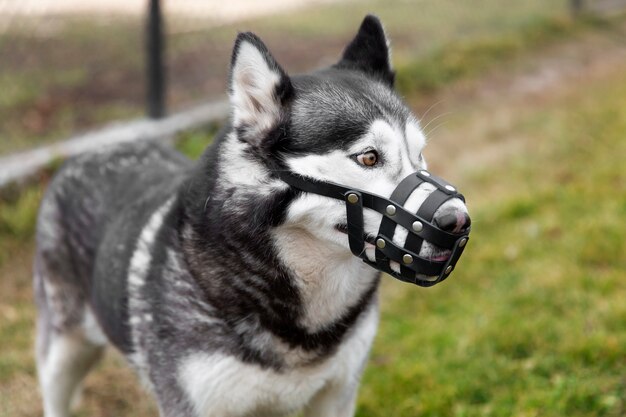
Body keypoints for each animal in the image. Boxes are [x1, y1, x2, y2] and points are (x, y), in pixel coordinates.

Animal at [34, 14, 466, 414]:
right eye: (369, 157)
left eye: (419, 155)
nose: (458, 221)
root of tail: (96, 147)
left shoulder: (337, 395)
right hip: (61, 354)